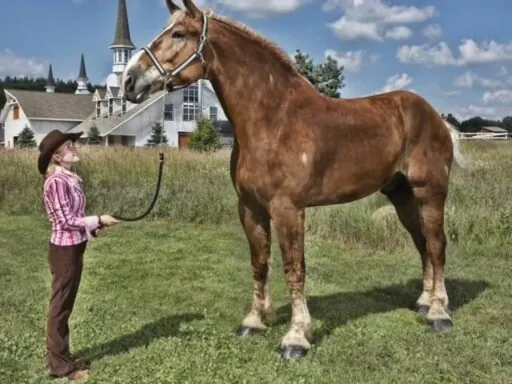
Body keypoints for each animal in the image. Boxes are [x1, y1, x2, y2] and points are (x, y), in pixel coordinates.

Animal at [122, 0, 470, 360]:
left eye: (179, 33)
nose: (129, 81)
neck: (273, 120)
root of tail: (437, 119)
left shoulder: (288, 209)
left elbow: (294, 268)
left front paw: (296, 337)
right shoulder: (250, 208)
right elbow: (260, 262)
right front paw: (254, 321)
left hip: (430, 192)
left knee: (437, 244)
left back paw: (439, 313)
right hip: (402, 195)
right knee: (422, 243)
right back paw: (424, 302)